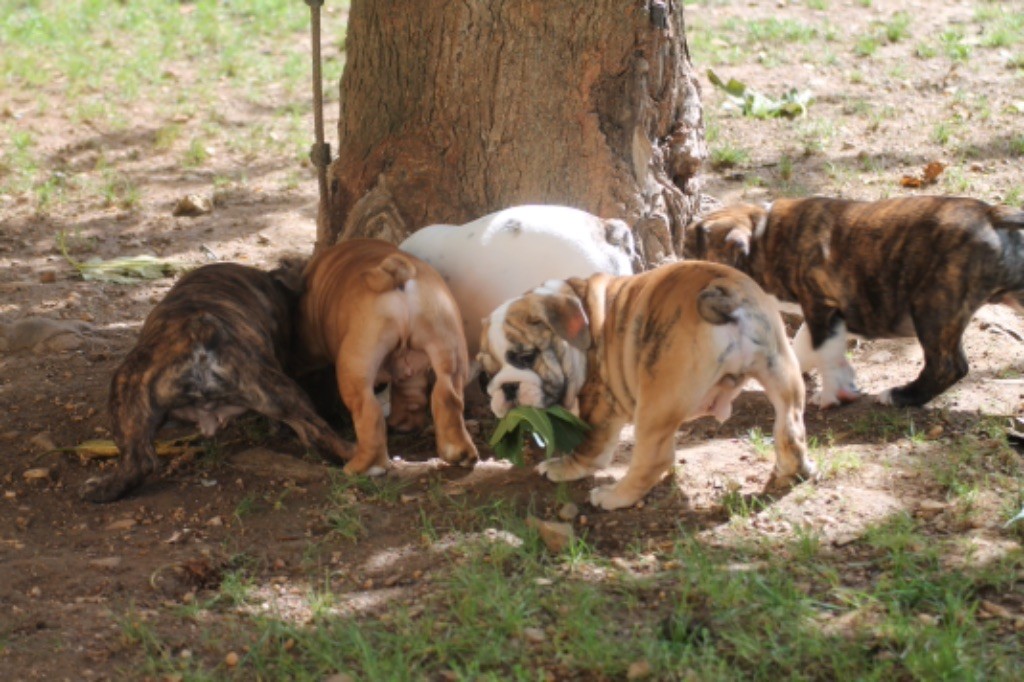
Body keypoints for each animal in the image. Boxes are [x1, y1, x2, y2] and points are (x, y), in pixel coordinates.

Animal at [479, 260, 815, 509]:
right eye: (485, 376)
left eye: (526, 357)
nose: (507, 388)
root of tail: (723, 291)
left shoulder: (598, 404)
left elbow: (589, 448)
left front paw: (563, 468)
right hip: (781, 368)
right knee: (790, 425)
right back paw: (794, 469)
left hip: (656, 398)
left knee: (653, 459)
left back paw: (614, 497)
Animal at [679, 193, 1024, 405]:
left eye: (691, 248)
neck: (763, 237)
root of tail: (991, 214)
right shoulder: (824, 314)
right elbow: (807, 344)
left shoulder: (821, 307)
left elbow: (825, 352)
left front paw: (832, 394)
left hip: (932, 308)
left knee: (949, 365)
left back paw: (902, 396)